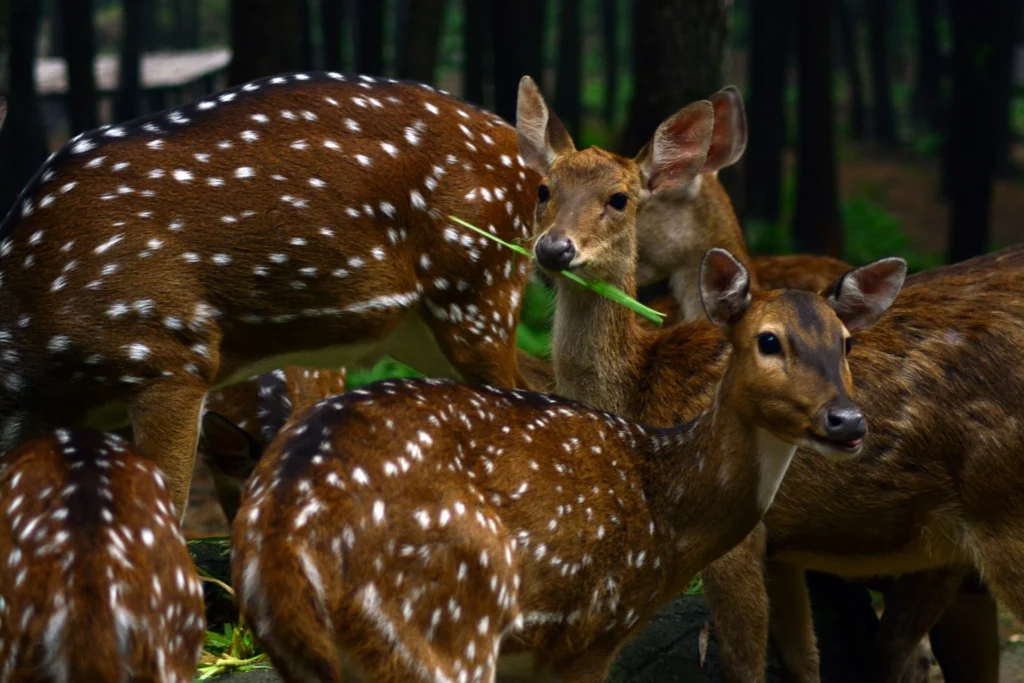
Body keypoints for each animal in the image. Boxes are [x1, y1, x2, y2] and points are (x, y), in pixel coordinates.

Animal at [228, 239, 901, 679]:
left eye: (846, 343)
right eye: (768, 340)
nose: (847, 421)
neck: (669, 516)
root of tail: (282, 541)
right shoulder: (590, 632)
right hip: (444, 624)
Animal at [516, 74, 1024, 683]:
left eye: (620, 199)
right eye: (543, 189)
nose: (554, 249)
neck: (644, 393)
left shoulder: (733, 535)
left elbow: (744, 660)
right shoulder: (780, 549)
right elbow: (804, 660)